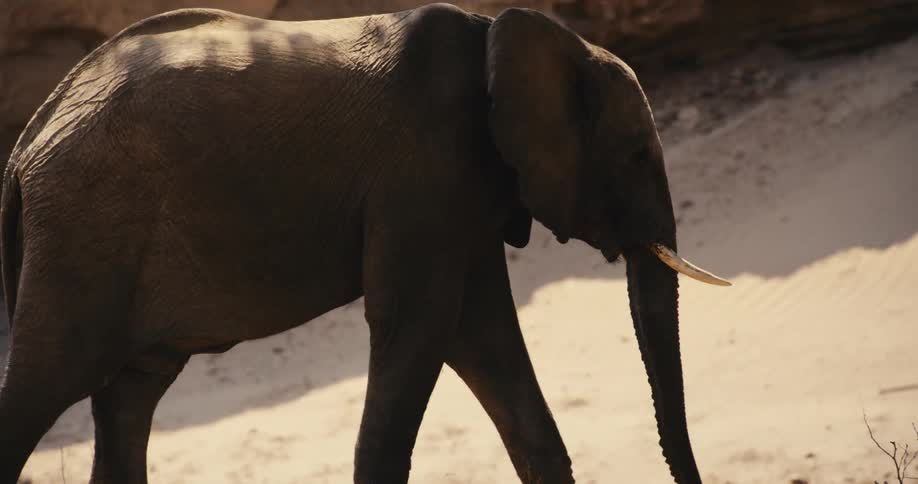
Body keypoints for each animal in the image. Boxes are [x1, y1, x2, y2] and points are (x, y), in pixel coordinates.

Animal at [0, 3, 731, 483]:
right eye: (637, 157)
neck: (502, 34)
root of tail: (25, 142)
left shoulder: (464, 196)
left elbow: (482, 334)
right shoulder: (425, 170)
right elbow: (421, 325)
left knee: (129, 397)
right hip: (84, 233)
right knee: (45, 387)